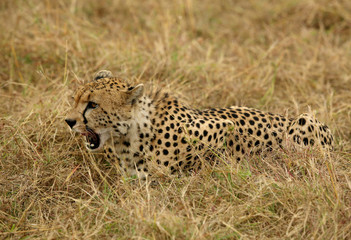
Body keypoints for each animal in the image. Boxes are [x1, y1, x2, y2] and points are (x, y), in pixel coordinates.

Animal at [65, 70, 332, 179]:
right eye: (76, 100)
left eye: (93, 105)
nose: (69, 121)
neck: (129, 136)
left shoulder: (224, 126)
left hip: (306, 121)